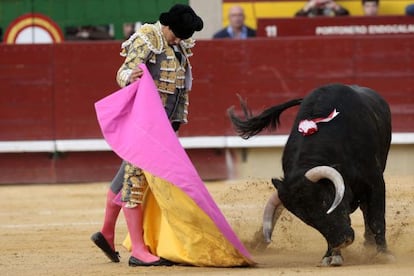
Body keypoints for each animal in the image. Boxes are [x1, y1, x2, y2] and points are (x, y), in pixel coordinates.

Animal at [228, 83, 392, 266]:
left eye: (326, 201)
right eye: (306, 219)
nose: (343, 240)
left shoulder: (375, 182)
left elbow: (376, 218)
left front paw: (383, 254)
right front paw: (331, 255)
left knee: (367, 211)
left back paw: (370, 247)